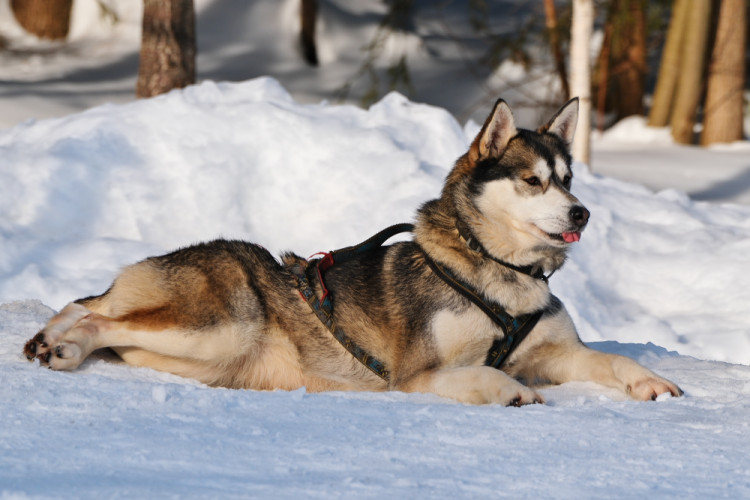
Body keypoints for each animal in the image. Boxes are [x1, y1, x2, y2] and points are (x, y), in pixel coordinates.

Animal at [23, 98, 684, 406]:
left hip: (203, 350)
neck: (499, 276)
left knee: (87, 307)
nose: (581, 213)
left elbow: (610, 360)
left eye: (569, 179)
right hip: (219, 326)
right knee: (96, 314)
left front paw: (652, 380)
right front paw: (511, 391)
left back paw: (55, 340)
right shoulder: (419, 374)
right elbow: (483, 373)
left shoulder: (559, 352)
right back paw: (60, 346)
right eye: (532, 181)